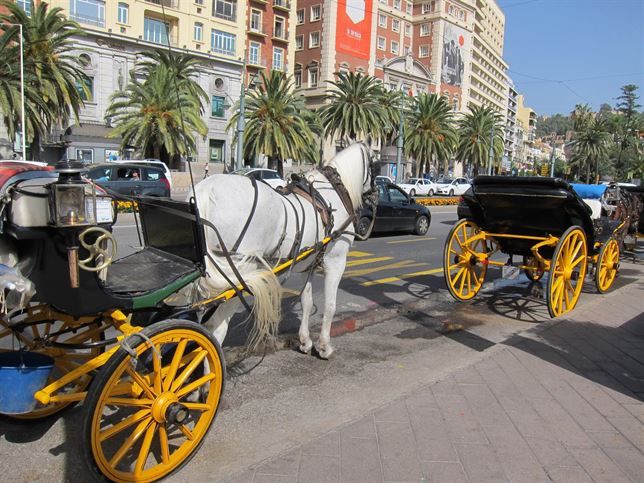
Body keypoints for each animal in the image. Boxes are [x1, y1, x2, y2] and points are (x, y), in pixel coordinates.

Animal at [192, 144, 372, 360]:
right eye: (374, 165)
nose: (373, 195)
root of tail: (206, 189)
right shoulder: (336, 262)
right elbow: (330, 305)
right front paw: (324, 346)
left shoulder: (308, 266)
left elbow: (306, 301)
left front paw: (305, 341)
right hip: (237, 274)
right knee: (214, 330)